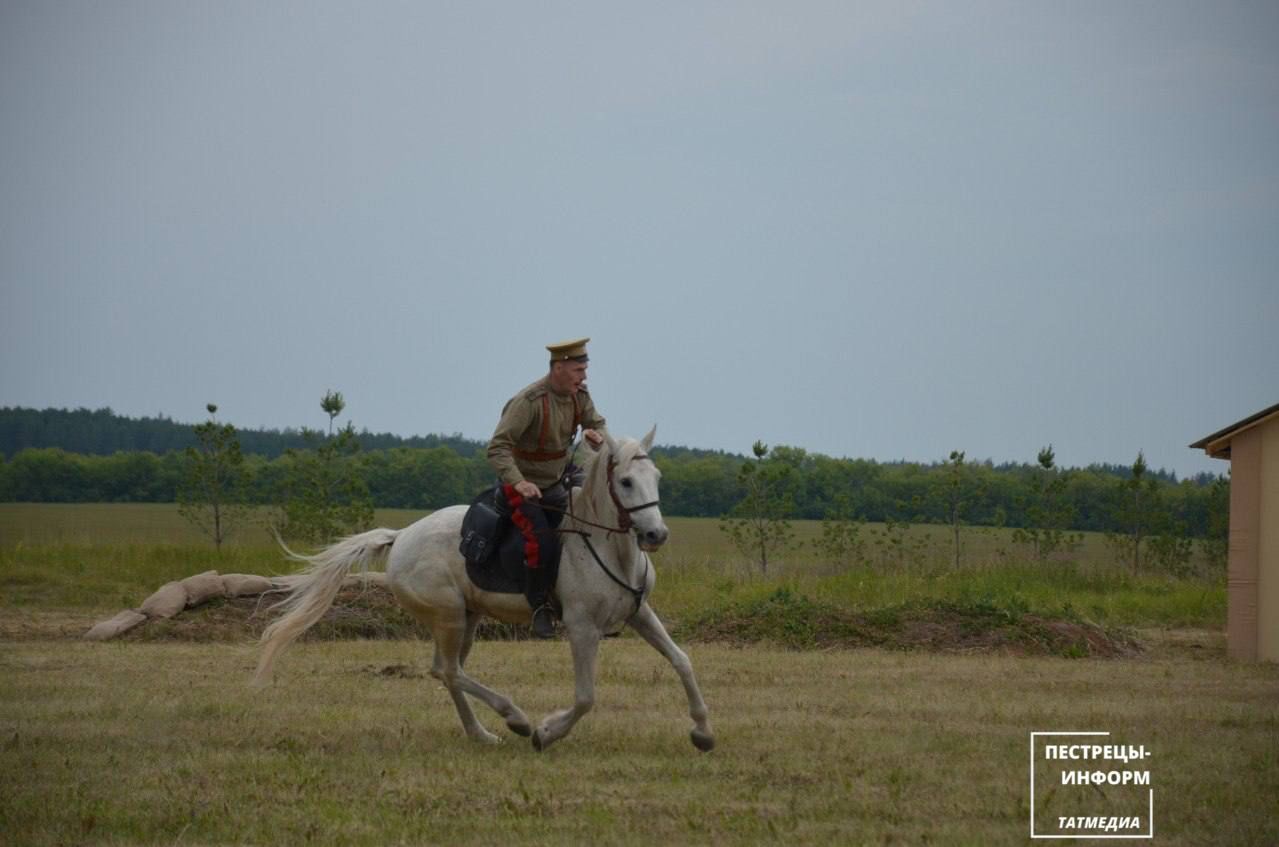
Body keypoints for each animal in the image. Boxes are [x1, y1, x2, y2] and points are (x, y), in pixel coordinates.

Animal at [249, 427, 711, 752]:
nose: (656, 535)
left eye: (656, 476)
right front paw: (546, 732)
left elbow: (682, 661)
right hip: (449, 617)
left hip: (465, 619)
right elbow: (585, 697)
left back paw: (481, 734)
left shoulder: (640, 614)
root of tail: (401, 537)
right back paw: (515, 719)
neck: (606, 546)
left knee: (446, 671)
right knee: (452, 671)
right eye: (627, 482)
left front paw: (703, 732)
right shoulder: (582, 629)